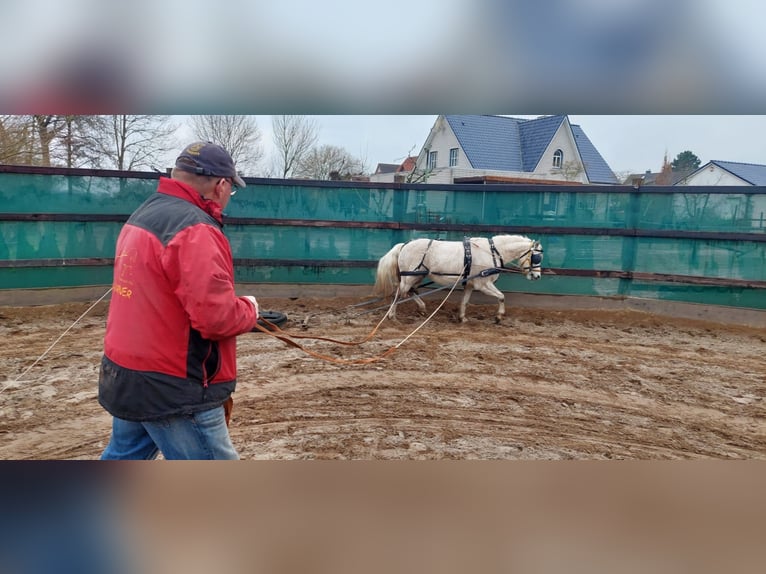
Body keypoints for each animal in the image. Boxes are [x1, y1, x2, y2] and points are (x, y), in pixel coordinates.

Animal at [374, 235, 544, 324]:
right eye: (536, 257)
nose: (537, 276)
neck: (492, 252)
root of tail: (404, 245)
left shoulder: (470, 284)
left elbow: (465, 301)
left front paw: (462, 317)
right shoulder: (483, 284)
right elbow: (502, 296)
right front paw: (498, 316)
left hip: (418, 275)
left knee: (410, 291)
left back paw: (421, 308)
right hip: (409, 276)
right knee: (398, 294)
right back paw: (392, 315)